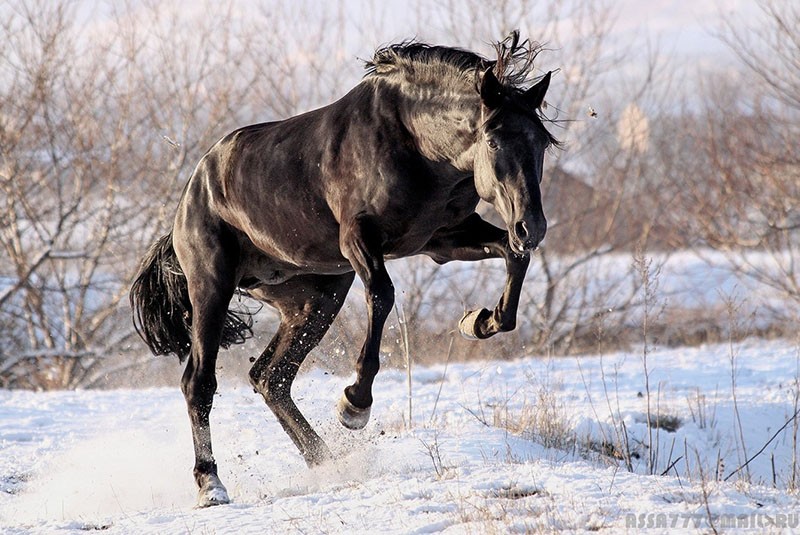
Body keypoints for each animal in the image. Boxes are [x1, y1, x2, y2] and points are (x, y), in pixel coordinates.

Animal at [130, 31, 556, 508]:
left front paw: (480, 321)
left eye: (542, 143)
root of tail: (187, 200)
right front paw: (355, 404)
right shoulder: (359, 239)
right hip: (213, 287)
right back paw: (212, 484)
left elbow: (514, 256)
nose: (533, 226)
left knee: (270, 377)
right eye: (494, 141)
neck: (414, 143)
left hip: (315, 298)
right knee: (199, 383)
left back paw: (327, 462)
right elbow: (382, 295)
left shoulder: (443, 239)